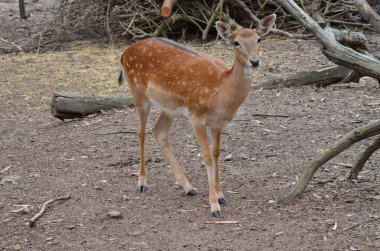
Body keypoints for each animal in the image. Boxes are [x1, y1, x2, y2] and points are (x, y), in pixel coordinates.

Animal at [119, 14, 276, 218]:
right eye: (236, 43)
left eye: (259, 39)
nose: (255, 61)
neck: (220, 93)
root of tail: (124, 53)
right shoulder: (196, 116)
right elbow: (207, 156)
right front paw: (214, 206)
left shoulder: (218, 123)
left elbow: (216, 153)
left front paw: (221, 196)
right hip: (138, 94)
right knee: (141, 133)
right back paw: (142, 183)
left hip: (169, 107)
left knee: (158, 131)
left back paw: (188, 187)